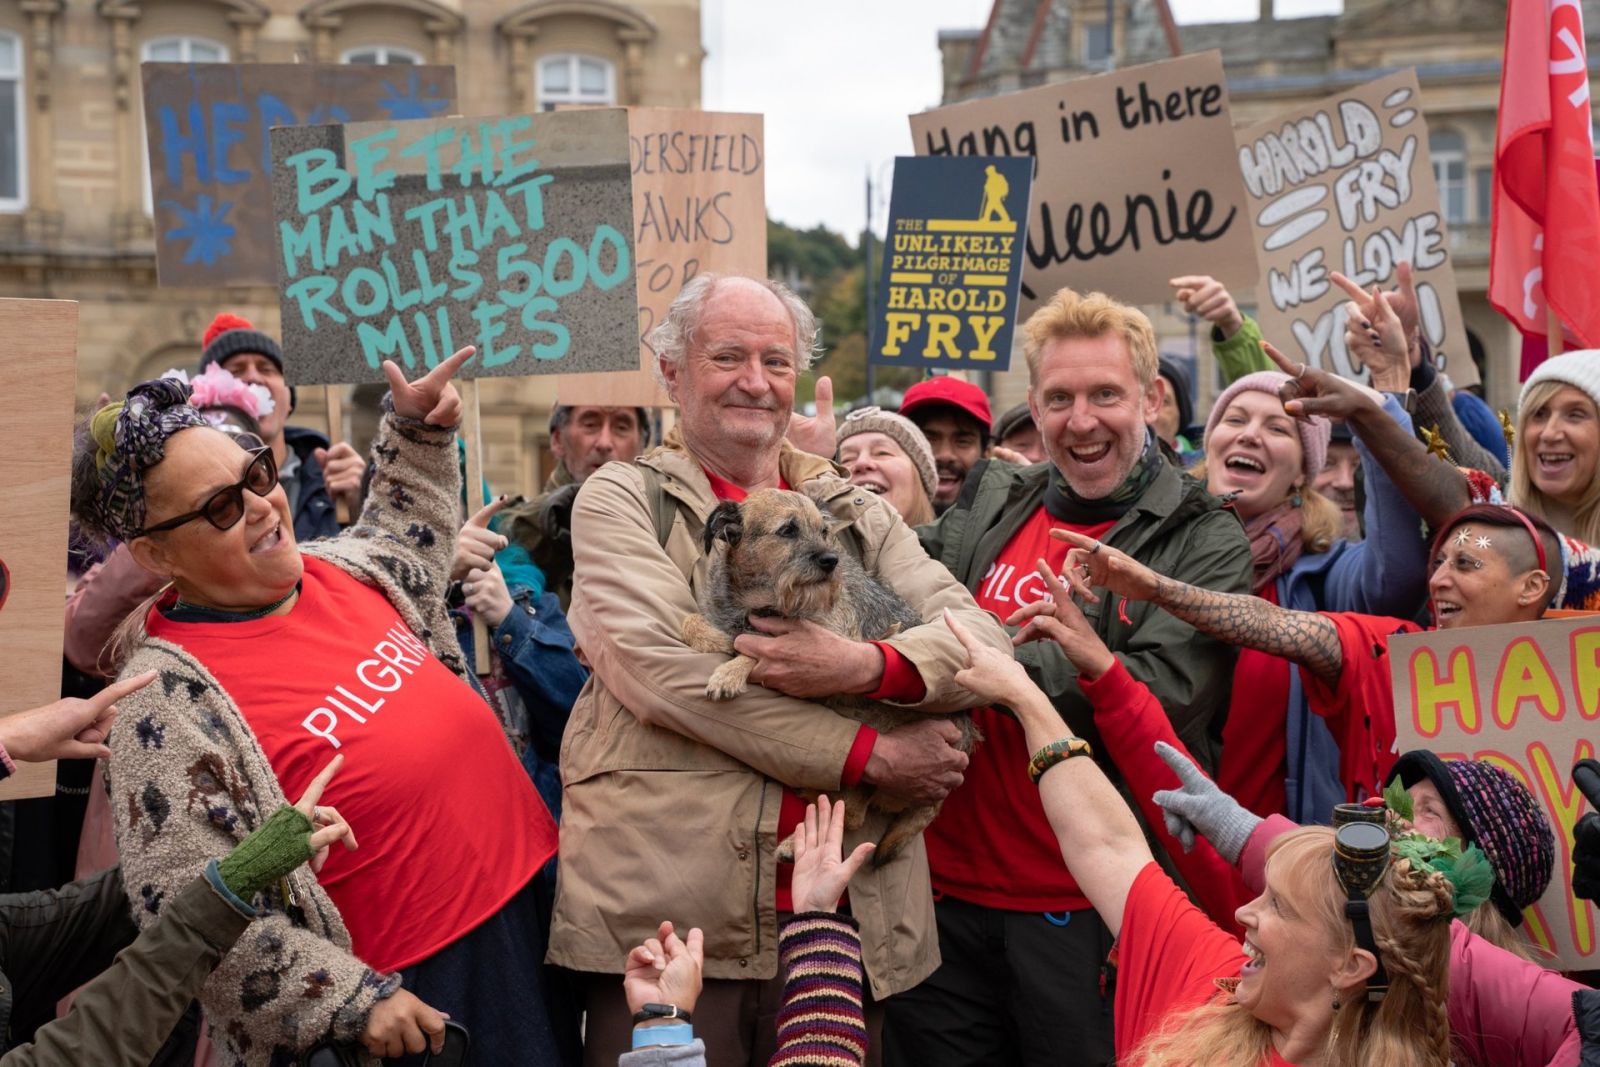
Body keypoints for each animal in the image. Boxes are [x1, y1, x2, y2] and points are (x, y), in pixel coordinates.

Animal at [675, 489, 972, 870]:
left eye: (824, 530)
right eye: (788, 530)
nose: (831, 560)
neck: (760, 602)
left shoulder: (834, 643)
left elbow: (762, 646)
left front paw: (730, 671)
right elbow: (693, 621)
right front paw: (716, 639)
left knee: (853, 811)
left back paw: (796, 835)